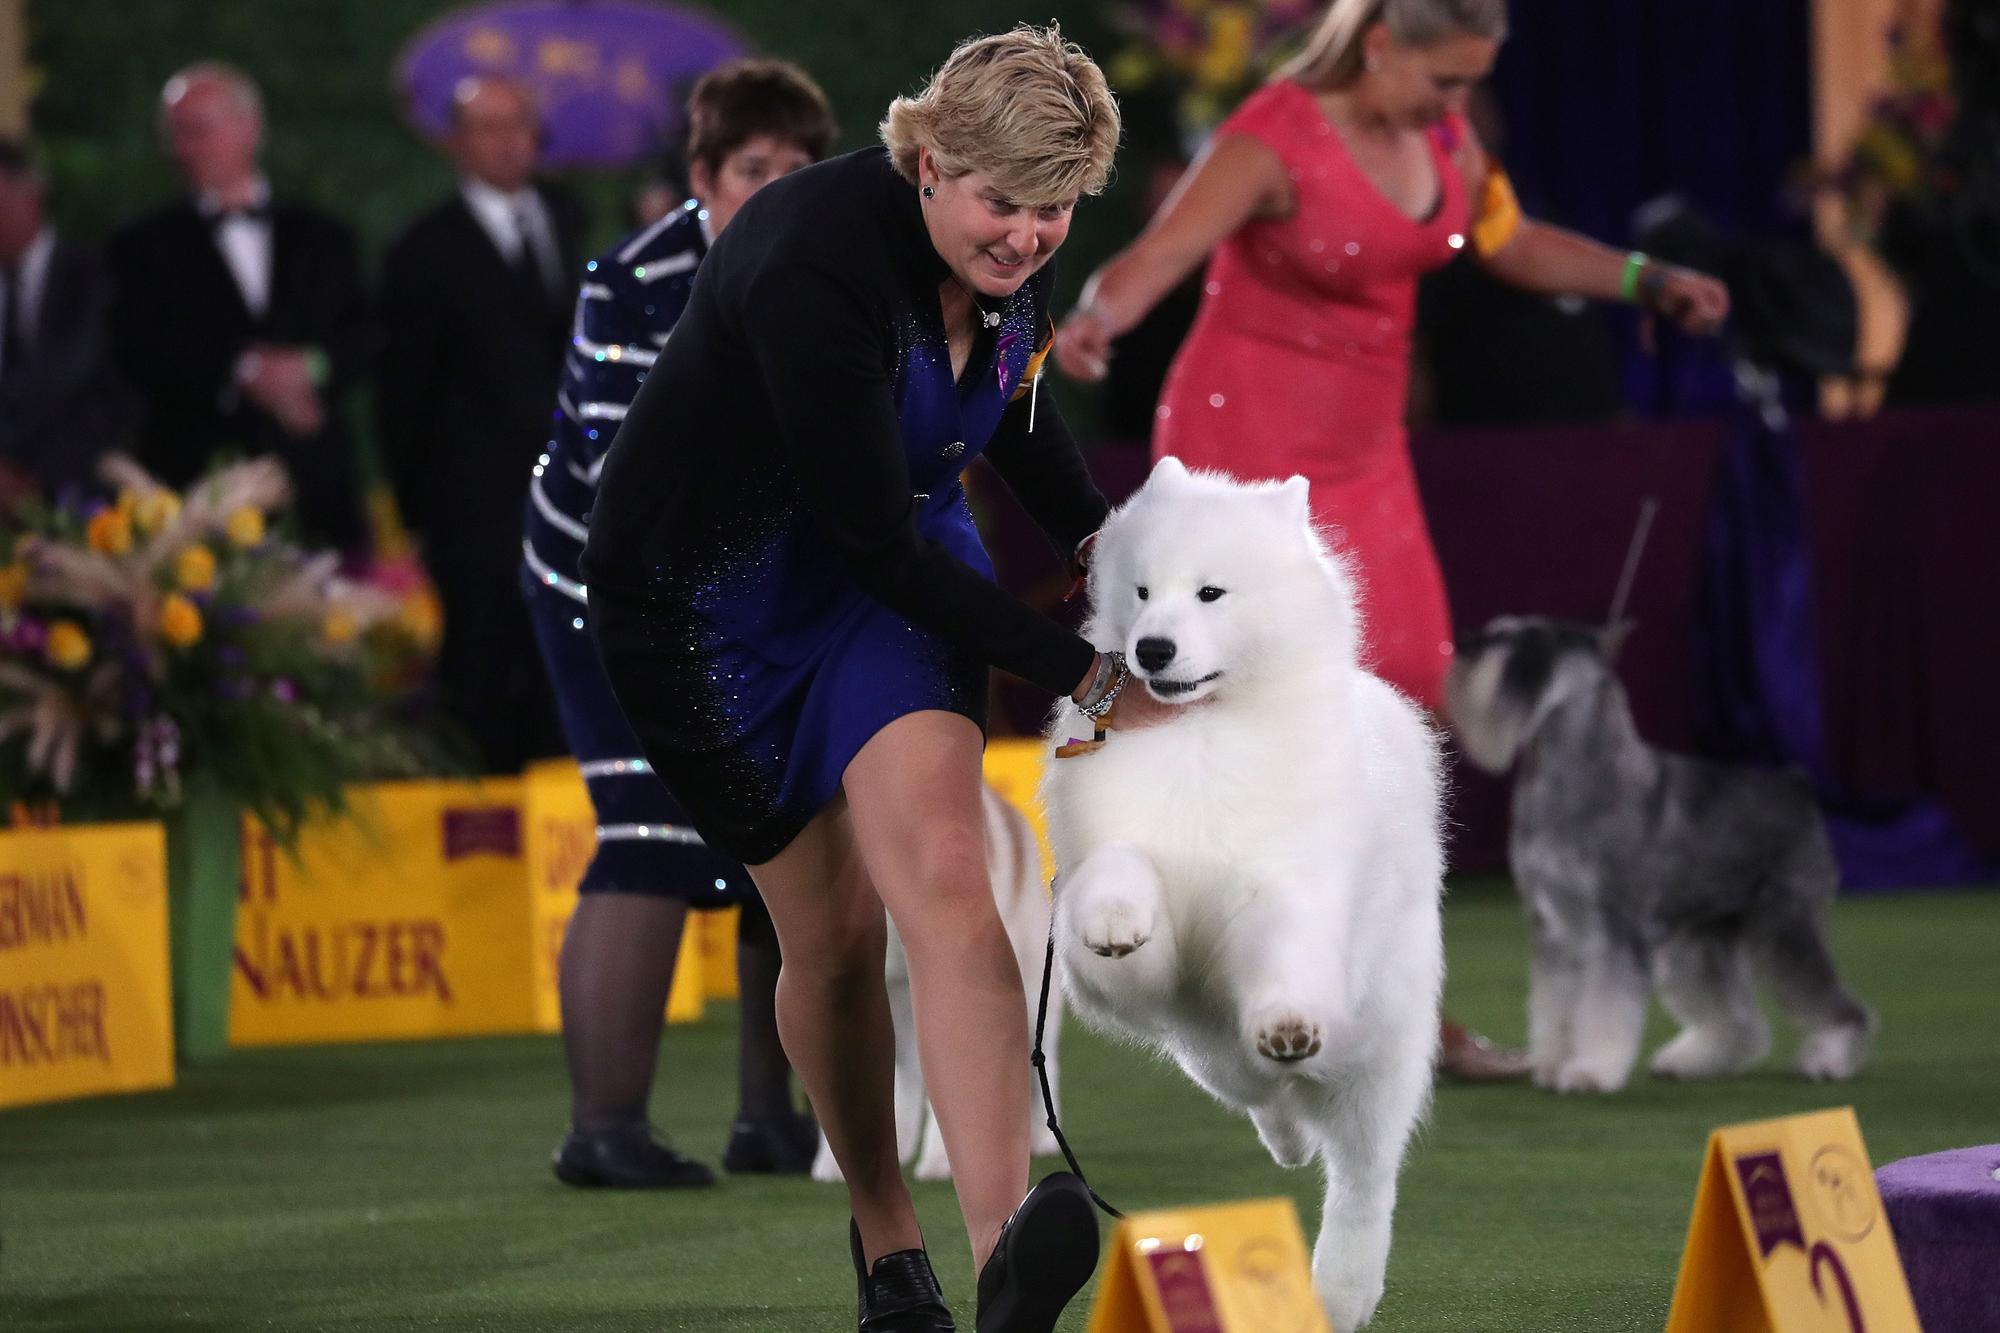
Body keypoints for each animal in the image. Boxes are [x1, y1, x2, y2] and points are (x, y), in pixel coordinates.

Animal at [1040, 460, 1448, 1328]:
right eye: (1142, 590)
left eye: (1210, 594)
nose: (1152, 647)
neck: (1203, 728)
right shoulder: (1134, 904)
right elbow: (1124, 872)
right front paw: (1117, 918)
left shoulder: (1284, 889)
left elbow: (1285, 951)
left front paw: (1288, 1019)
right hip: (1205, 1050)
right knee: (1264, 1093)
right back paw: (1288, 1131)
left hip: (1377, 1053)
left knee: (1362, 1176)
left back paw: (1341, 1286)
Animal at [1440, 612, 1872, 1088]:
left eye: (1532, 644)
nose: (1464, 646)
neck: (1577, 776)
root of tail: (1798, 786)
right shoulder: (1555, 926)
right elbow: (1555, 1004)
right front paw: (1553, 1062)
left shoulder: (1615, 925)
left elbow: (1605, 1005)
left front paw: (1590, 1070)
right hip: (1701, 940)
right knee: (1739, 1018)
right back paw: (1692, 1061)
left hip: (1784, 924)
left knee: (1829, 998)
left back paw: (1830, 1058)